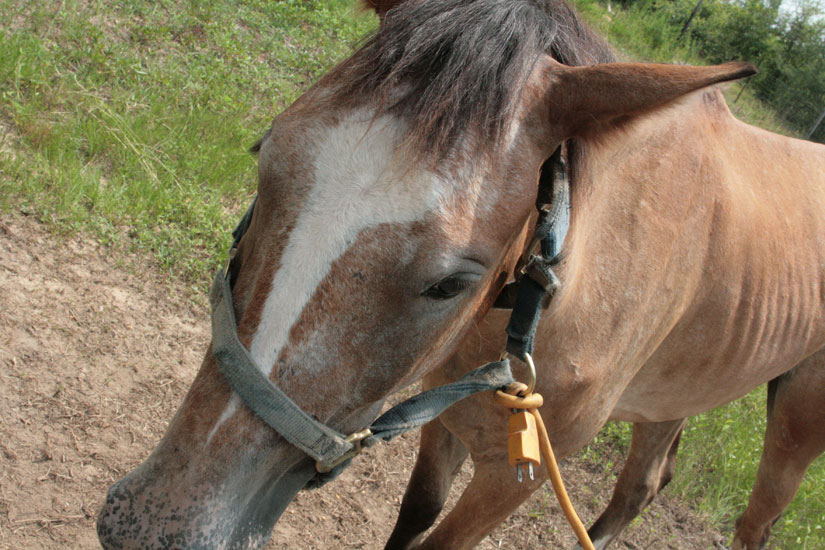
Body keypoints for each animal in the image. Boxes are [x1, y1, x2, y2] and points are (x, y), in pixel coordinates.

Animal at [96, 1, 824, 550]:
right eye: (261, 154)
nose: (153, 526)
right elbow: (415, 514)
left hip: (795, 422)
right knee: (641, 485)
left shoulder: (519, 476)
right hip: (677, 392)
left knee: (755, 522)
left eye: (451, 283)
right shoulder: (442, 416)